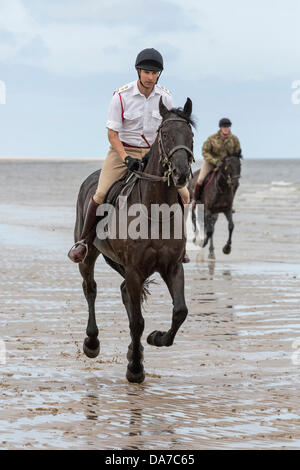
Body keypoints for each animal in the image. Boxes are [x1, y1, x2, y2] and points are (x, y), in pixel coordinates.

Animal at [72, 96, 195, 382]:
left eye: (190, 134)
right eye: (164, 134)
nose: (182, 173)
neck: (155, 211)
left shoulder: (172, 267)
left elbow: (180, 312)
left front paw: (156, 339)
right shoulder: (134, 269)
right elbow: (137, 322)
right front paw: (135, 369)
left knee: (125, 294)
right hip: (89, 255)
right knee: (90, 289)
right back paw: (92, 343)